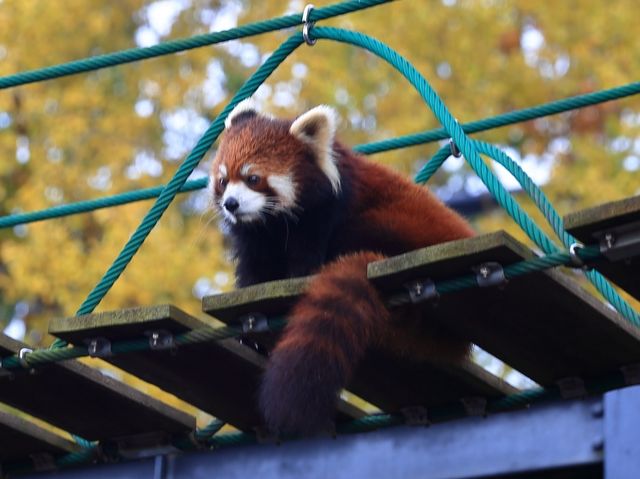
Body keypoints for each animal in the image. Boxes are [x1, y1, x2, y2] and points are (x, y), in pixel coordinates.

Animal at [211, 99, 476, 436]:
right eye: (223, 180)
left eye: (253, 178)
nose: (231, 203)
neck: (274, 224)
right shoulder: (256, 239)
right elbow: (253, 272)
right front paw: (248, 332)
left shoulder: (322, 216)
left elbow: (306, 258)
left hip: (394, 226)